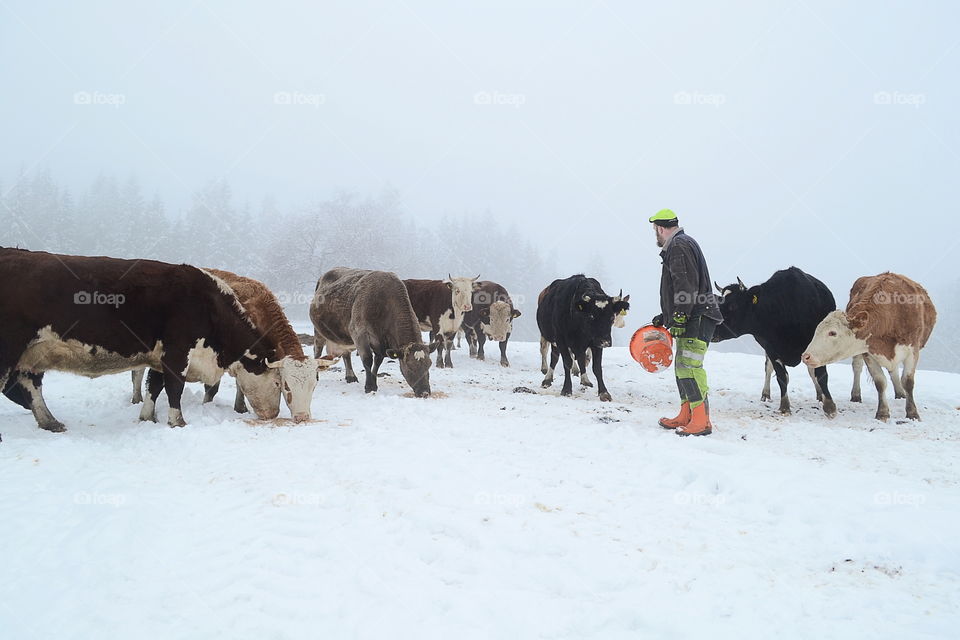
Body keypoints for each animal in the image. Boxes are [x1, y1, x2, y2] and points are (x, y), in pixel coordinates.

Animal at [1, 248, 282, 432]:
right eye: (279, 383)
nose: (273, 415)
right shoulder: (177, 351)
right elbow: (174, 387)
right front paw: (177, 422)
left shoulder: (160, 356)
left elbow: (154, 386)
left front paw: (148, 417)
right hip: (9, 348)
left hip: (31, 353)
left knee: (31, 385)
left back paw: (50, 422)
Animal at [130, 268, 342, 422]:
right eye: (285, 385)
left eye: (314, 384)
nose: (302, 417)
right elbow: (212, 388)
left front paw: (240, 407)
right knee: (138, 374)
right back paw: (136, 398)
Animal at [712, 268, 840, 418]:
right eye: (719, 303)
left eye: (733, 306)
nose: (712, 329)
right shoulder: (771, 348)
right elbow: (781, 376)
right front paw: (784, 407)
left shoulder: (820, 344)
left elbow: (820, 375)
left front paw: (829, 407)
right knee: (768, 368)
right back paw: (766, 394)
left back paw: (820, 395)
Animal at [804, 272, 936, 422]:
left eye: (832, 333)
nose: (806, 356)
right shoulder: (868, 352)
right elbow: (880, 382)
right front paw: (882, 413)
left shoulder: (912, 350)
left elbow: (907, 382)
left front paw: (912, 413)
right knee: (858, 367)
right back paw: (856, 395)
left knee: (894, 371)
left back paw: (900, 393)